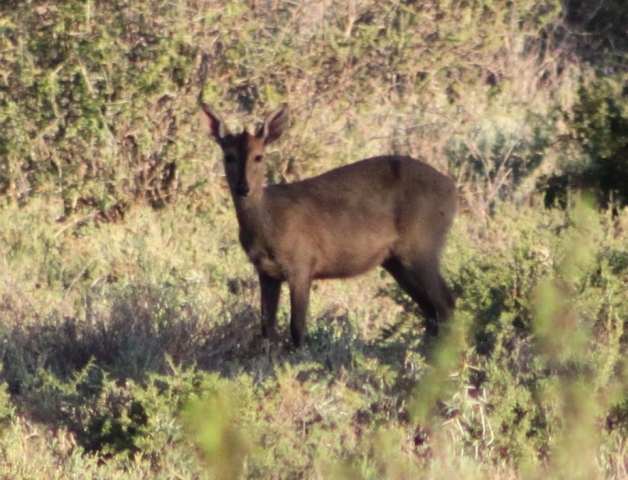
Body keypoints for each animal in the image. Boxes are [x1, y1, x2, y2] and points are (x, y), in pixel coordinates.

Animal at [201, 103, 456, 346]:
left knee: (446, 302)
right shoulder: (266, 272)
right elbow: (266, 327)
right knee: (430, 309)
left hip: (423, 245)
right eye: (228, 156)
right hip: (395, 260)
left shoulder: (302, 264)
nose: (243, 188)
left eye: (259, 156)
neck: (269, 221)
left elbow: (297, 326)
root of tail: (451, 190)